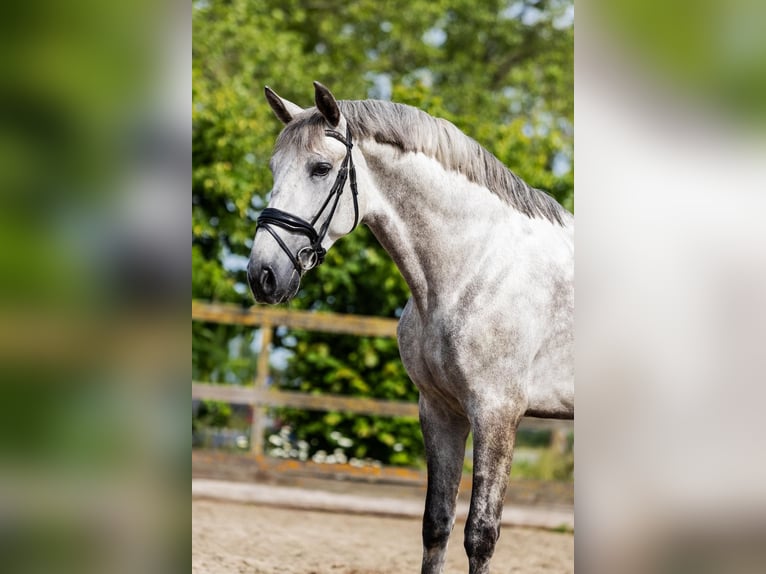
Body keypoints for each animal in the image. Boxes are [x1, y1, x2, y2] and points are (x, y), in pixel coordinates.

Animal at [247, 82, 574, 574]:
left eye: (320, 168)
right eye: (273, 168)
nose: (262, 275)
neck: (477, 265)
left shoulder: (497, 413)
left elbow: (481, 535)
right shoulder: (440, 410)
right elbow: (436, 525)